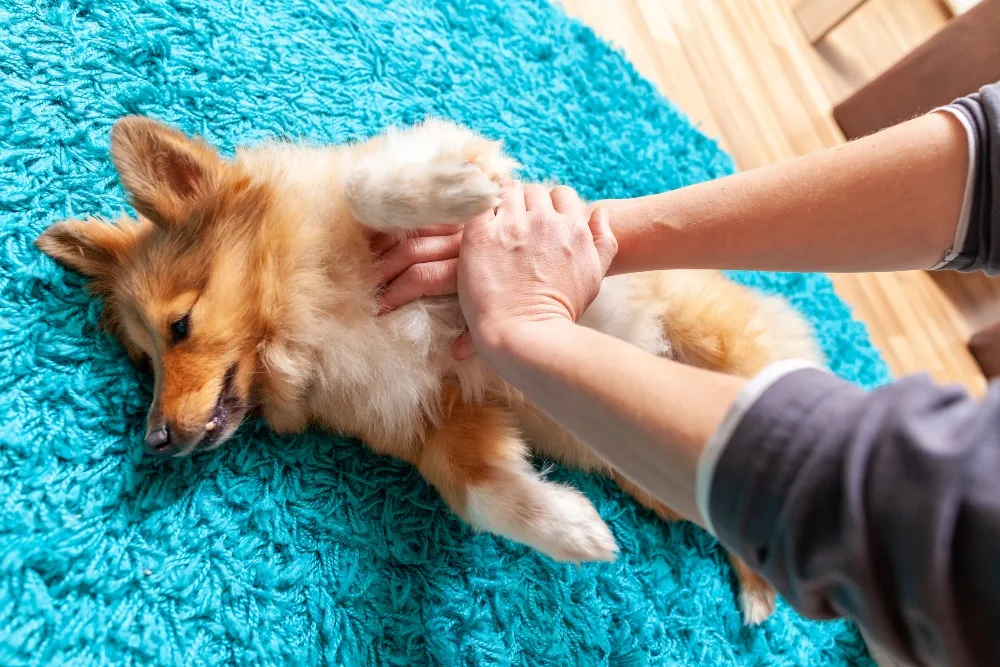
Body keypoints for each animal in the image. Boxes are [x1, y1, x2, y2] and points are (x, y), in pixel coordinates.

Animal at [37, 116, 820, 628]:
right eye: (144, 361)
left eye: (180, 327)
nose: (155, 440)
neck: (302, 317)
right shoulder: (443, 418)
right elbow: (479, 492)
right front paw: (573, 528)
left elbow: (366, 183)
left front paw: (456, 187)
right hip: (672, 474)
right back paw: (760, 587)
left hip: (718, 346)